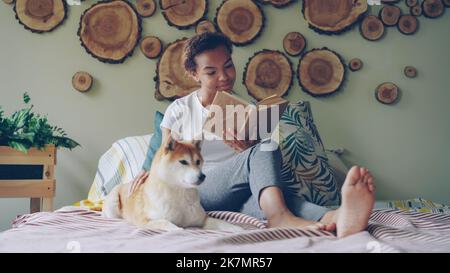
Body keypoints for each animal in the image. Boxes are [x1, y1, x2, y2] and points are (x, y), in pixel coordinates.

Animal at [102, 134, 243, 232]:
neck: (180, 194)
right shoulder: (145, 221)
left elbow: (222, 223)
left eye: (198, 162)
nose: (202, 176)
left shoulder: (203, 219)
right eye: (183, 162)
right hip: (113, 205)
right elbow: (165, 223)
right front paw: (178, 229)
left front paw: (236, 228)